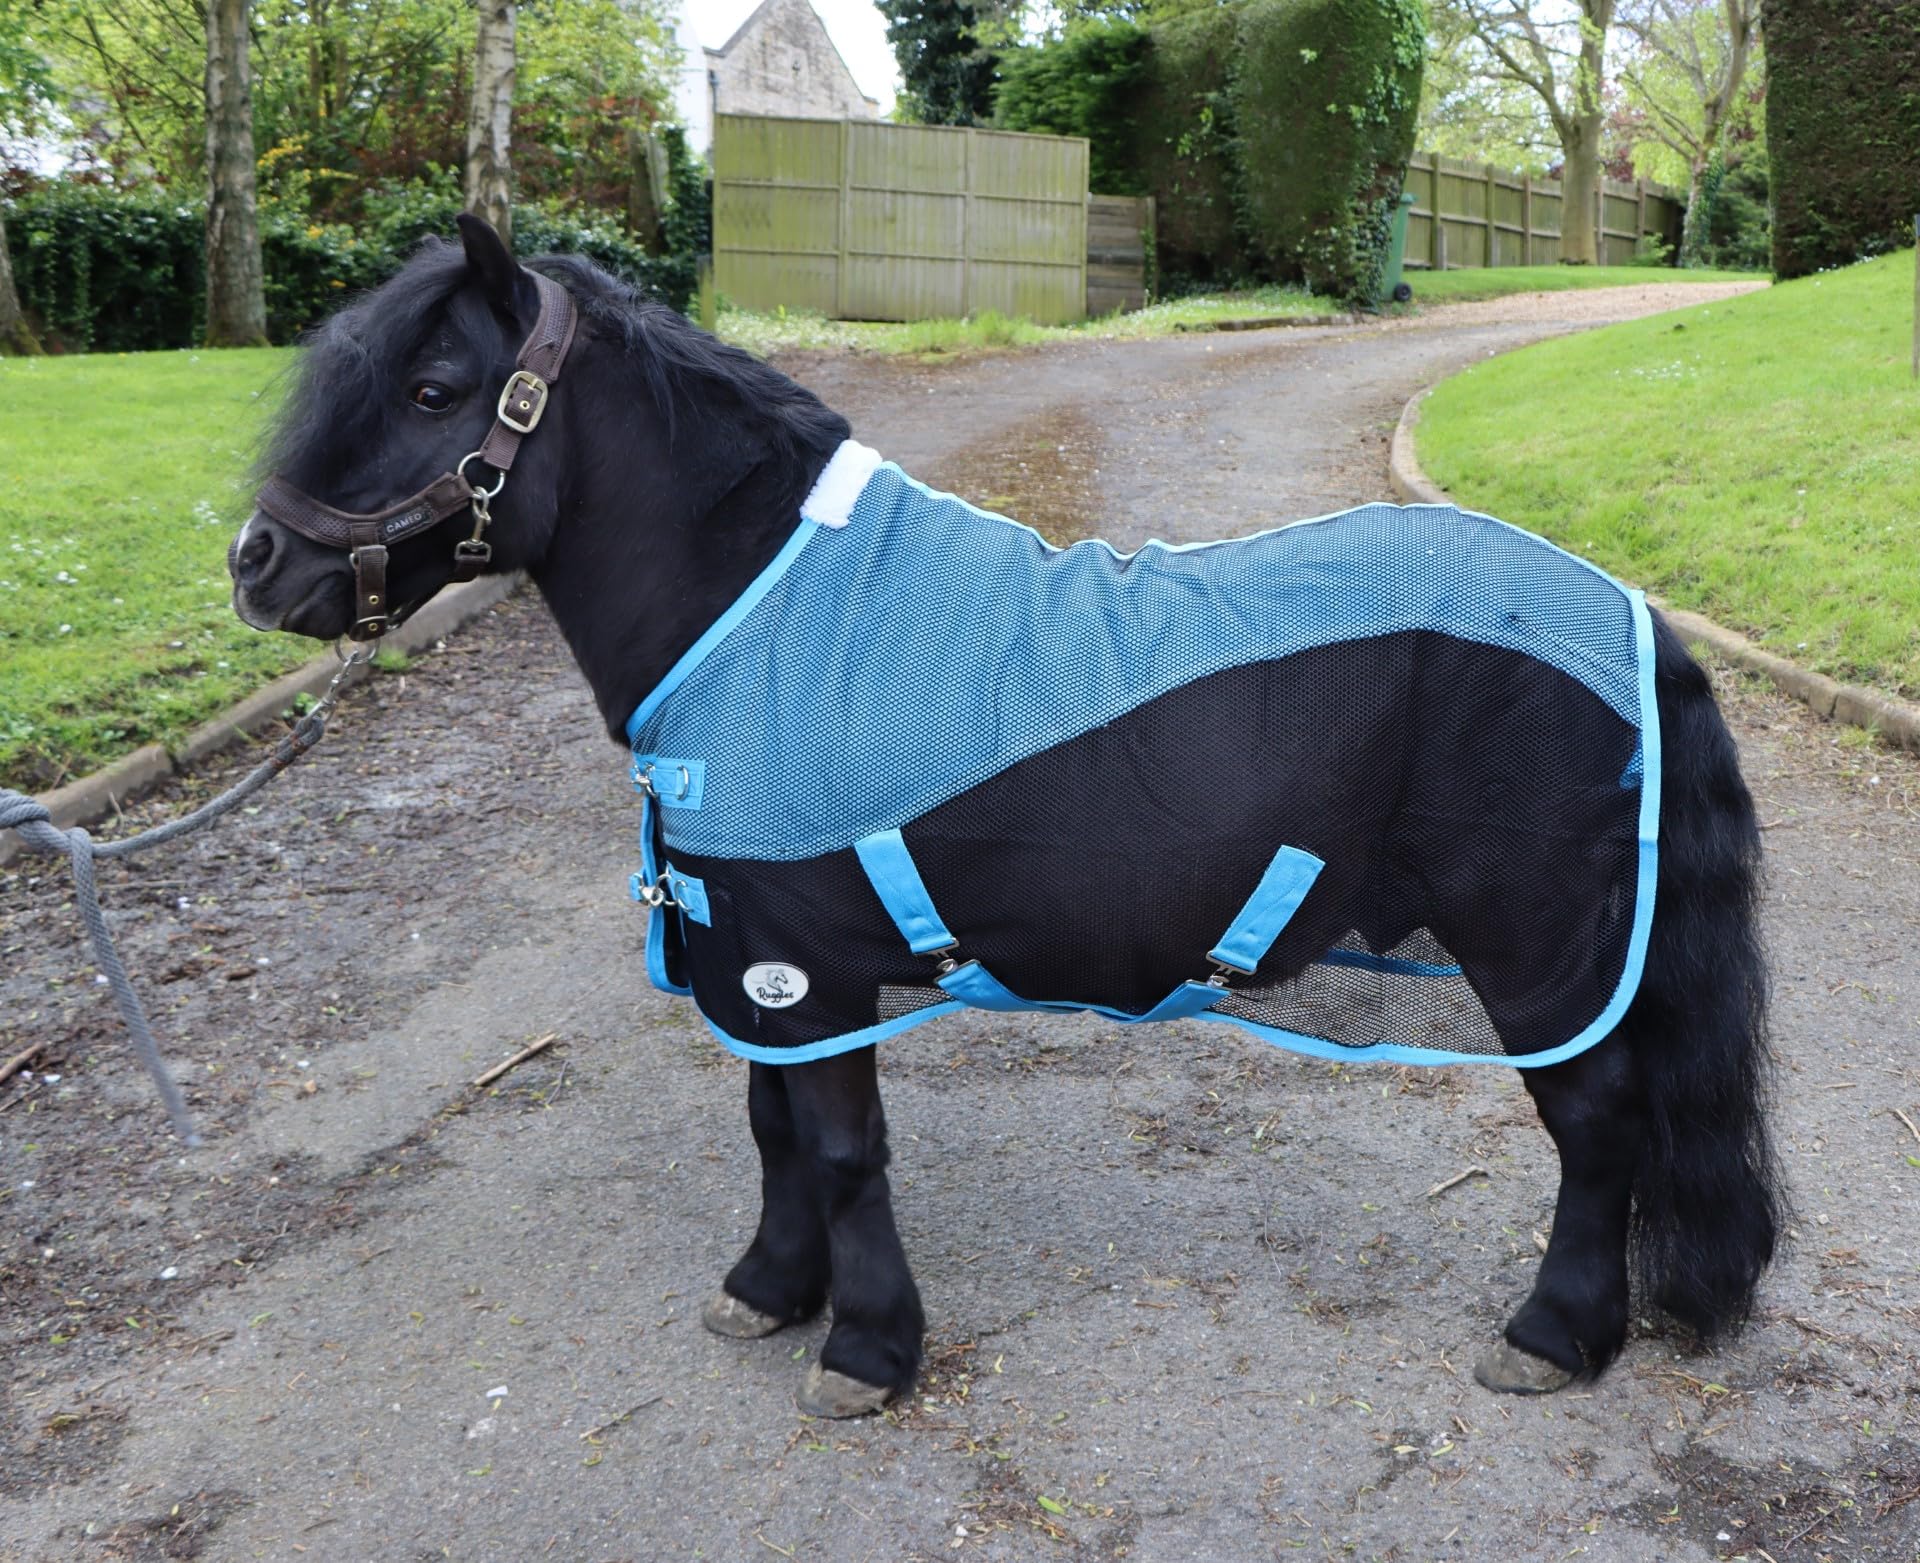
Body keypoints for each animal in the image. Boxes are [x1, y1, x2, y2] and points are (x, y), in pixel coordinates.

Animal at [228, 215, 1781, 1419]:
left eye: (436, 388)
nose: (258, 565)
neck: (756, 611)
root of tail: (1627, 612)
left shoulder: (803, 964)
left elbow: (838, 1150)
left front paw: (864, 1346)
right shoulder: (755, 953)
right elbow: (771, 1126)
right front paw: (769, 1288)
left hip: (1537, 954)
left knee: (1598, 1123)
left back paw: (1557, 1333)